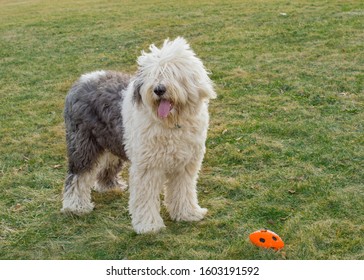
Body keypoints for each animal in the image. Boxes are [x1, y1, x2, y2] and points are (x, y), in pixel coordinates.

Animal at [62, 37, 216, 234]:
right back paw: (76, 206)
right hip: (84, 144)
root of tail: (82, 80)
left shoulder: (185, 165)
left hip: (114, 140)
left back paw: (110, 186)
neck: (171, 124)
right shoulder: (147, 167)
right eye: (153, 75)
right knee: (78, 176)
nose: (159, 89)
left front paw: (188, 213)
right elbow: (146, 197)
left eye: (173, 73)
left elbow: (183, 191)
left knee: (107, 164)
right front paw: (149, 226)